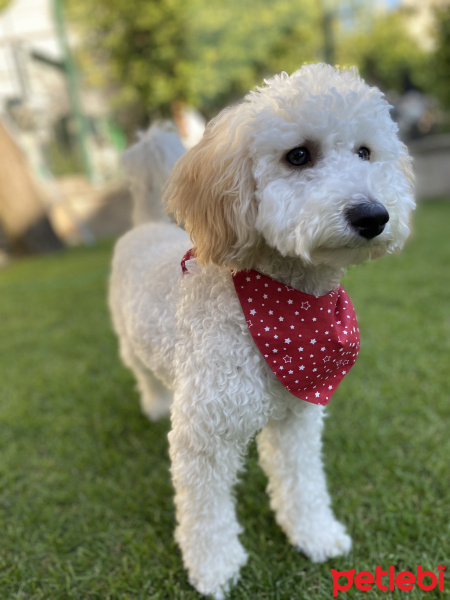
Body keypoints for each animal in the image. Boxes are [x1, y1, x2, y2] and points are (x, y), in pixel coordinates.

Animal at [108, 63, 414, 596]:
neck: (283, 309)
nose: (373, 215)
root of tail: (145, 224)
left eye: (365, 152)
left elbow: (302, 481)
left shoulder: (297, 418)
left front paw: (315, 534)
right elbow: (205, 513)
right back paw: (154, 402)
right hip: (129, 339)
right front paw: (214, 568)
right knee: (141, 371)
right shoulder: (203, 436)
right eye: (298, 155)